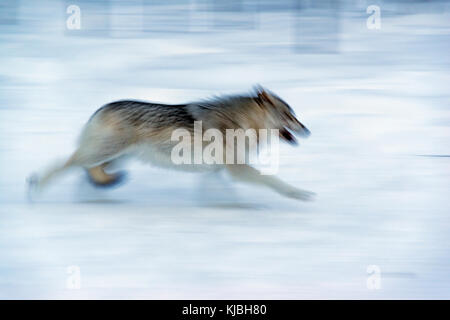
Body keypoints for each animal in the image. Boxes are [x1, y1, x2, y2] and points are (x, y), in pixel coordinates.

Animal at [28, 85, 314, 200]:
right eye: (289, 115)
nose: (308, 130)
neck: (241, 123)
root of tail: (101, 108)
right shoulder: (237, 170)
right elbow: (274, 181)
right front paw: (298, 193)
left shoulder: (218, 172)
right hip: (104, 153)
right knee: (65, 164)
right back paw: (36, 187)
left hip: (116, 158)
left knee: (86, 172)